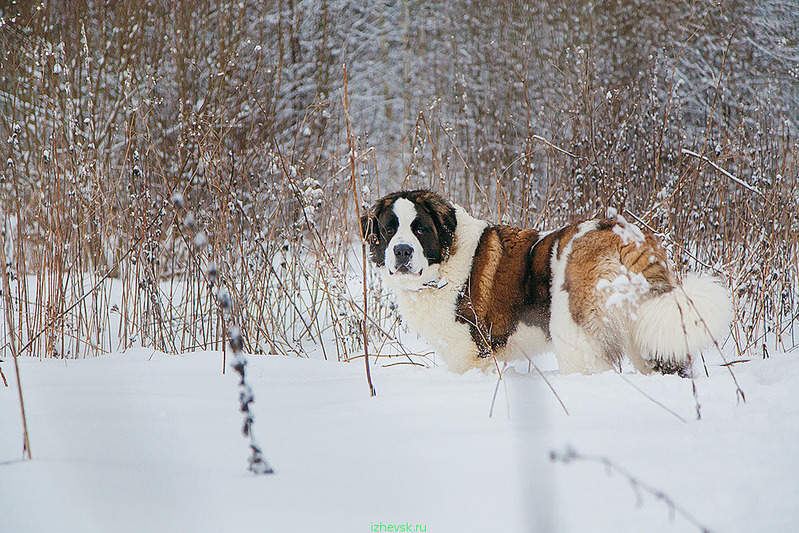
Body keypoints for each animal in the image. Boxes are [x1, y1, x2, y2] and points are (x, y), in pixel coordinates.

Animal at [360, 188, 732, 374]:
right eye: (389, 229)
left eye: (420, 229)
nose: (402, 251)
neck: (447, 261)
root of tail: (621, 235)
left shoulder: (472, 353)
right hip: (646, 329)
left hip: (575, 336)